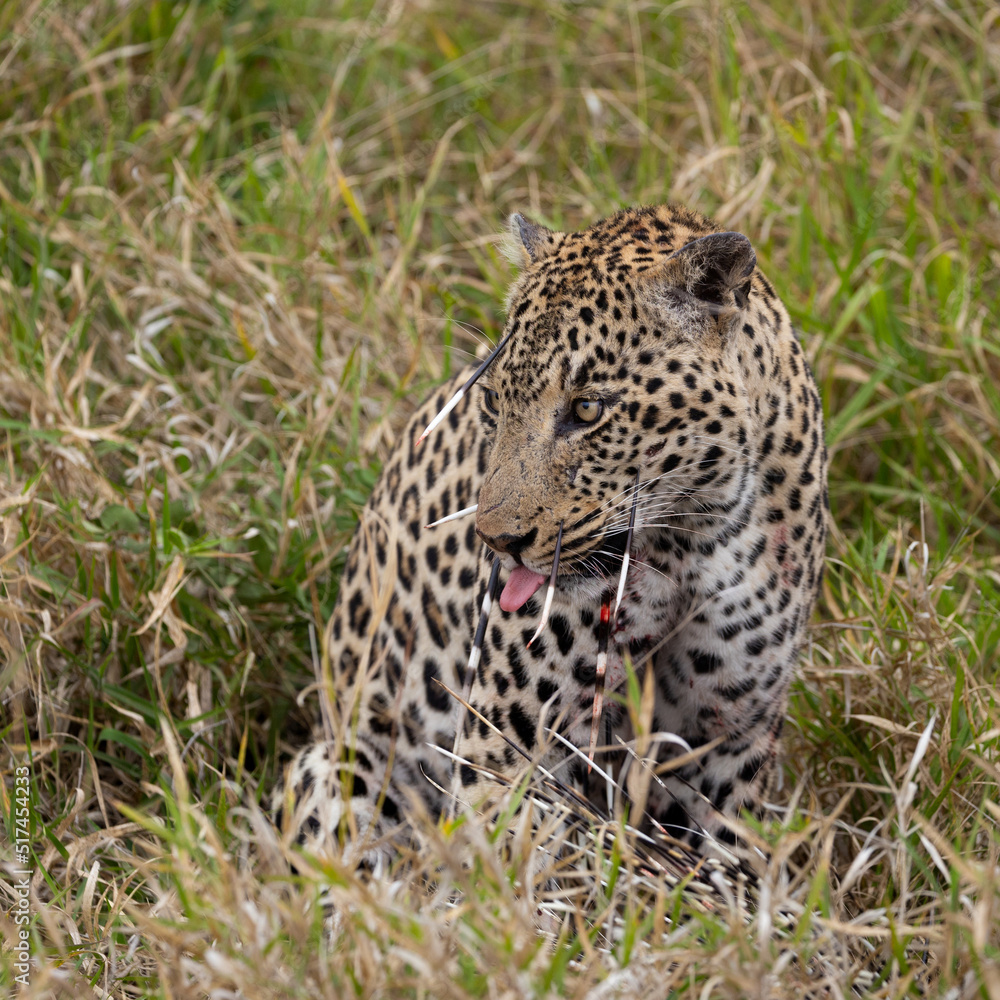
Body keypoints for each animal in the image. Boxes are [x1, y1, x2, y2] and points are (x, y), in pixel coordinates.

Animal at [281, 203, 828, 868]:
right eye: (493, 401)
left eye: (588, 410)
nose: (496, 540)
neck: (688, 539)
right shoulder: (504, 747)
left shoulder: (729, 743)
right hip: (334, 765)